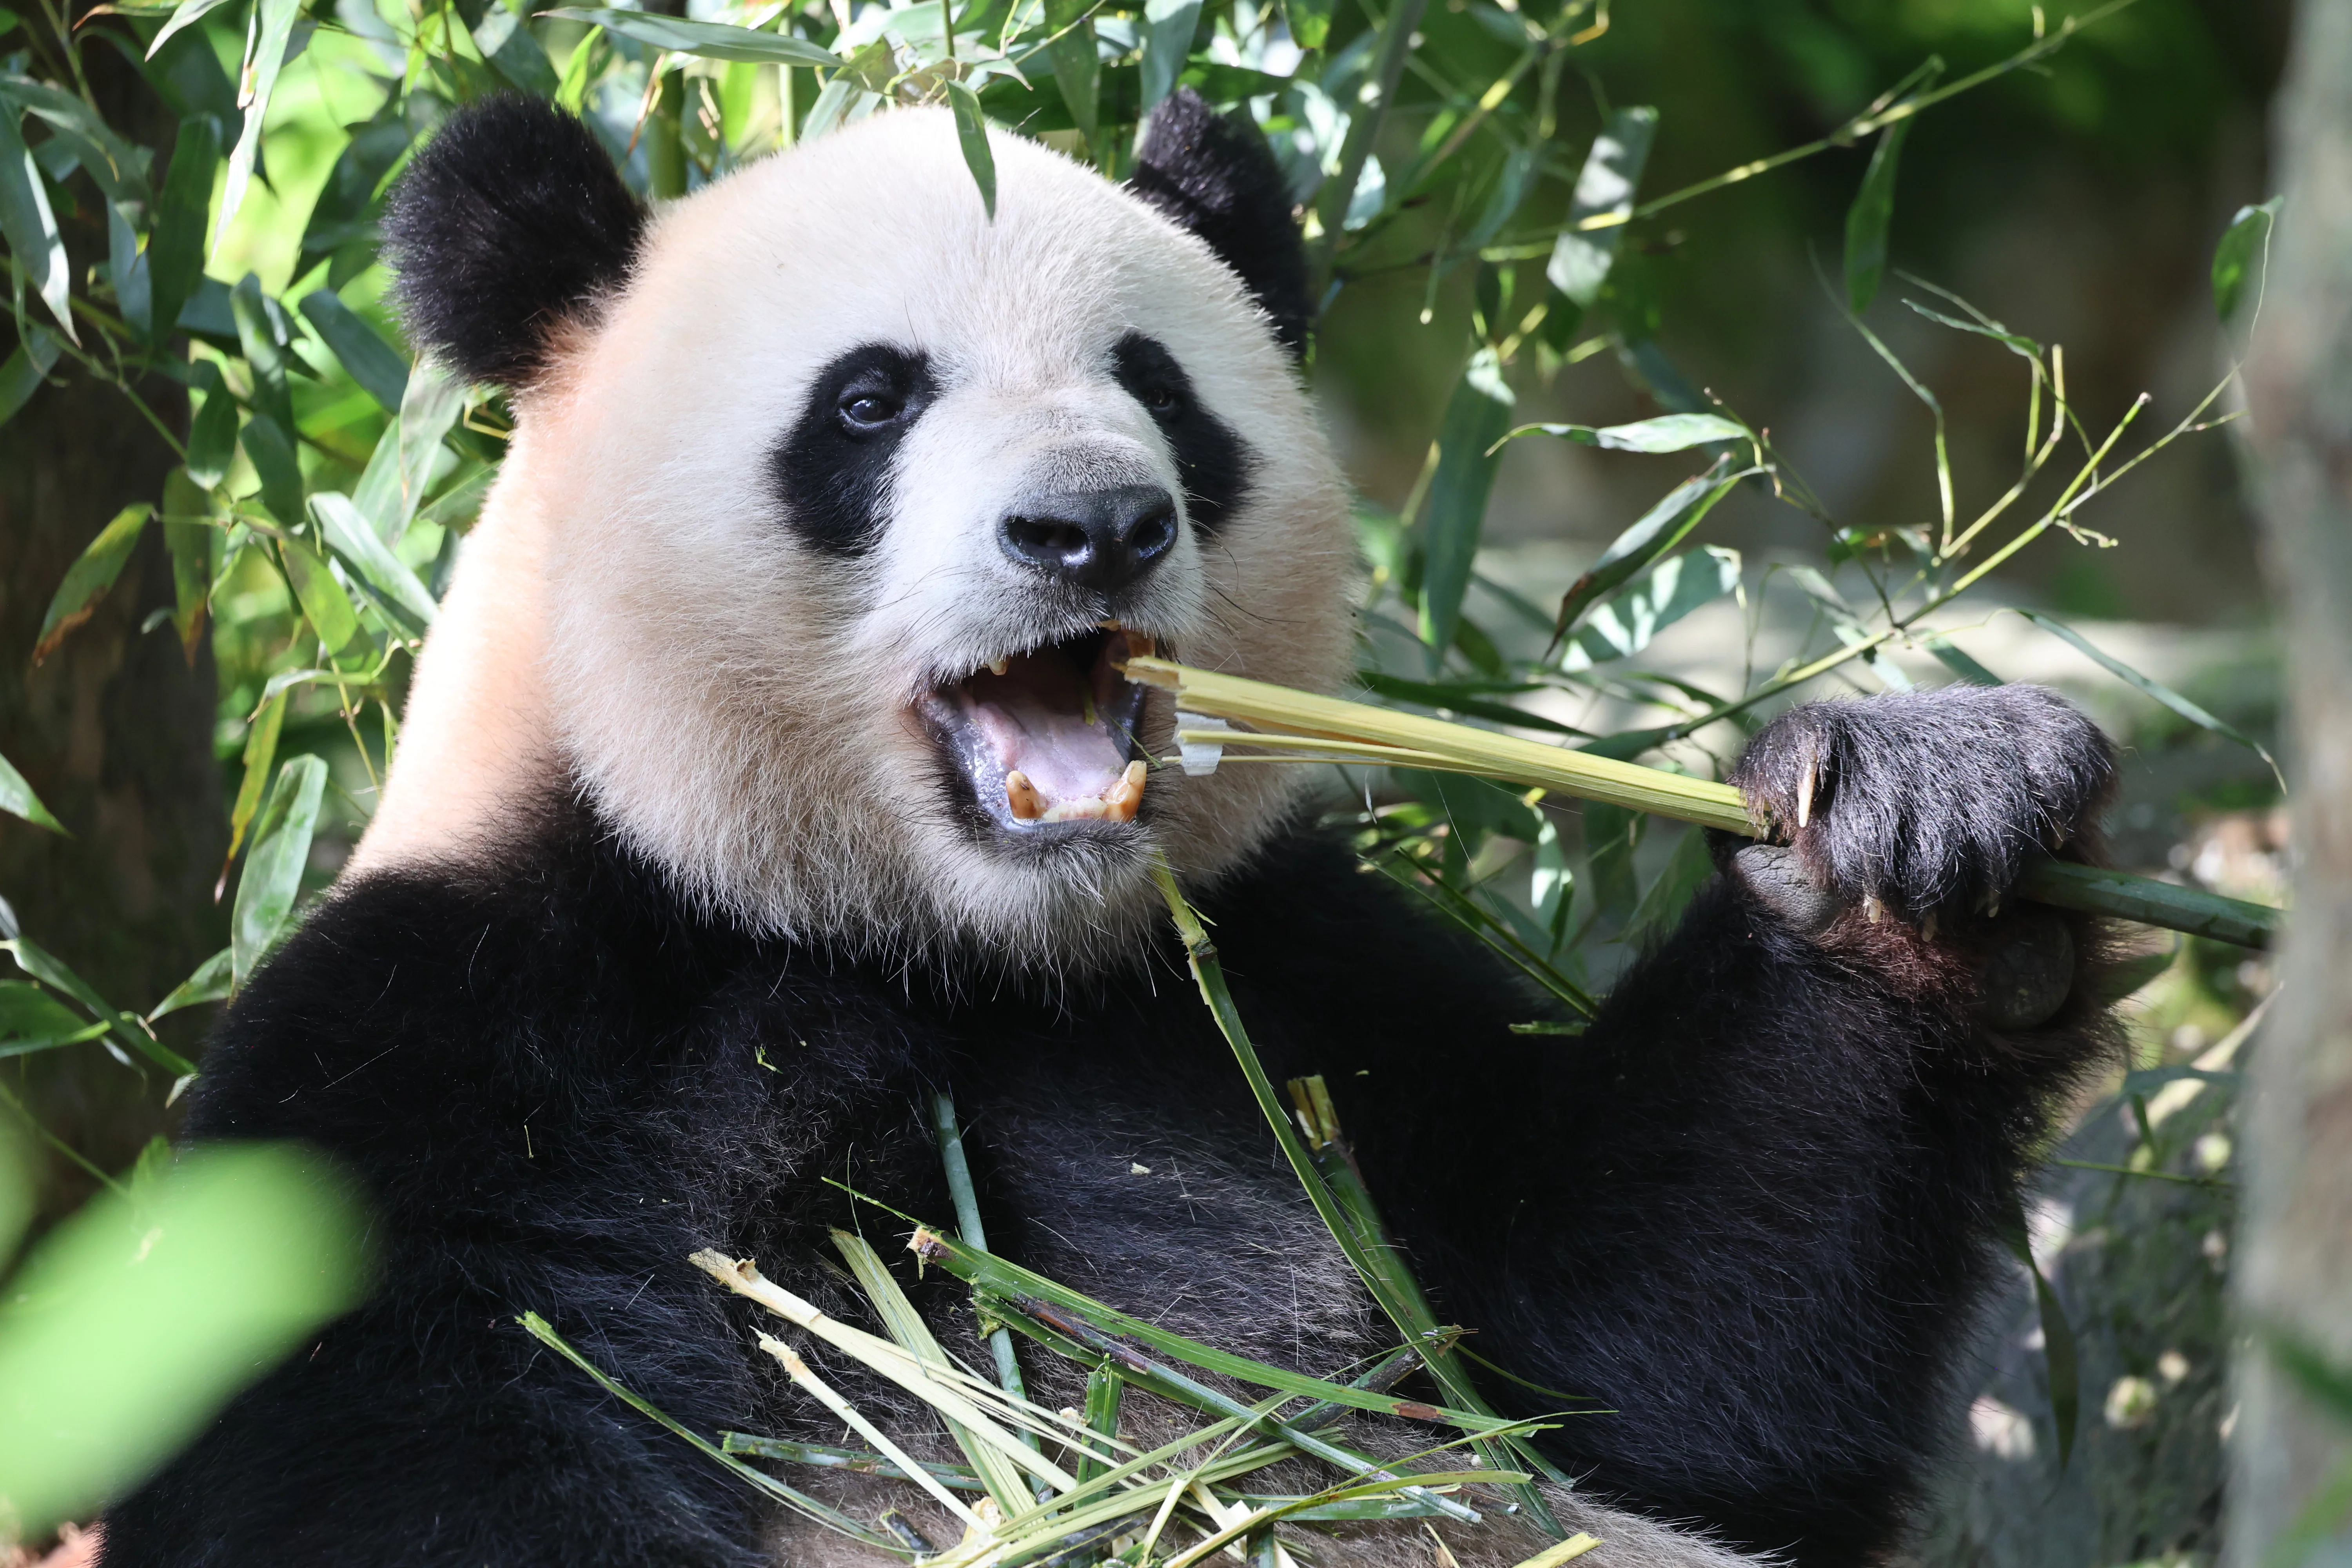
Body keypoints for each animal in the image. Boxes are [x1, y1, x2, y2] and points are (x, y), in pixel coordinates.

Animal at [97, 91, 2119, 1568]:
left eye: (1155, 385)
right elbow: (367, 1458)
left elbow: (1657, 1367)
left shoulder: (1284, 994)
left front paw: (1917, 836)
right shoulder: (442, 1042)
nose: (1091, 527)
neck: (938, 940)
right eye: (870, 398)